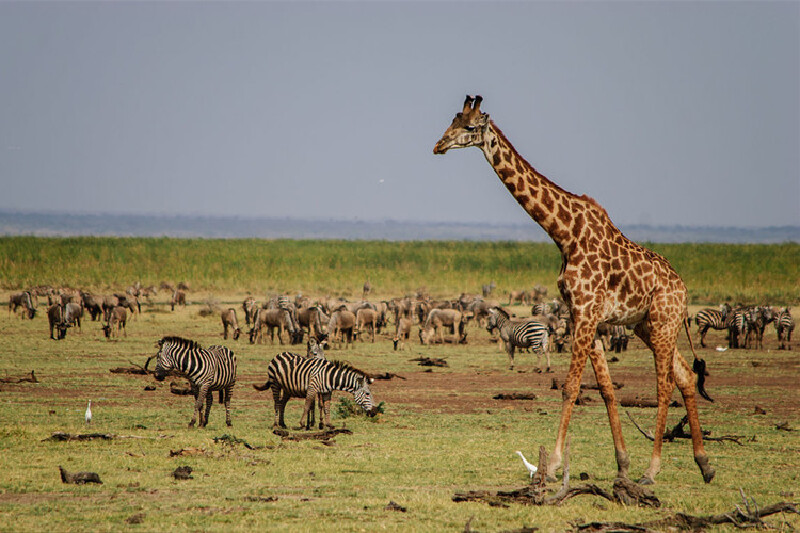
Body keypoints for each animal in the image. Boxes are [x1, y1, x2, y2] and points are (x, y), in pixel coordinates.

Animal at [434, 95, 716, 486]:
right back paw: (704, 464)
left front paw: (552, 465)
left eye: (471, 127)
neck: (564, 233)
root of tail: (684, 288)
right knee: (686, 376)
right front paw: (622, 463)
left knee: (665, 386)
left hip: (663, 321)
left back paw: (652, 470)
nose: (438, 145)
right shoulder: (587, 316)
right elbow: (607, 389)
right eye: (451, 121)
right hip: (647, 326)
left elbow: (570, 387)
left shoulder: (584, 312)